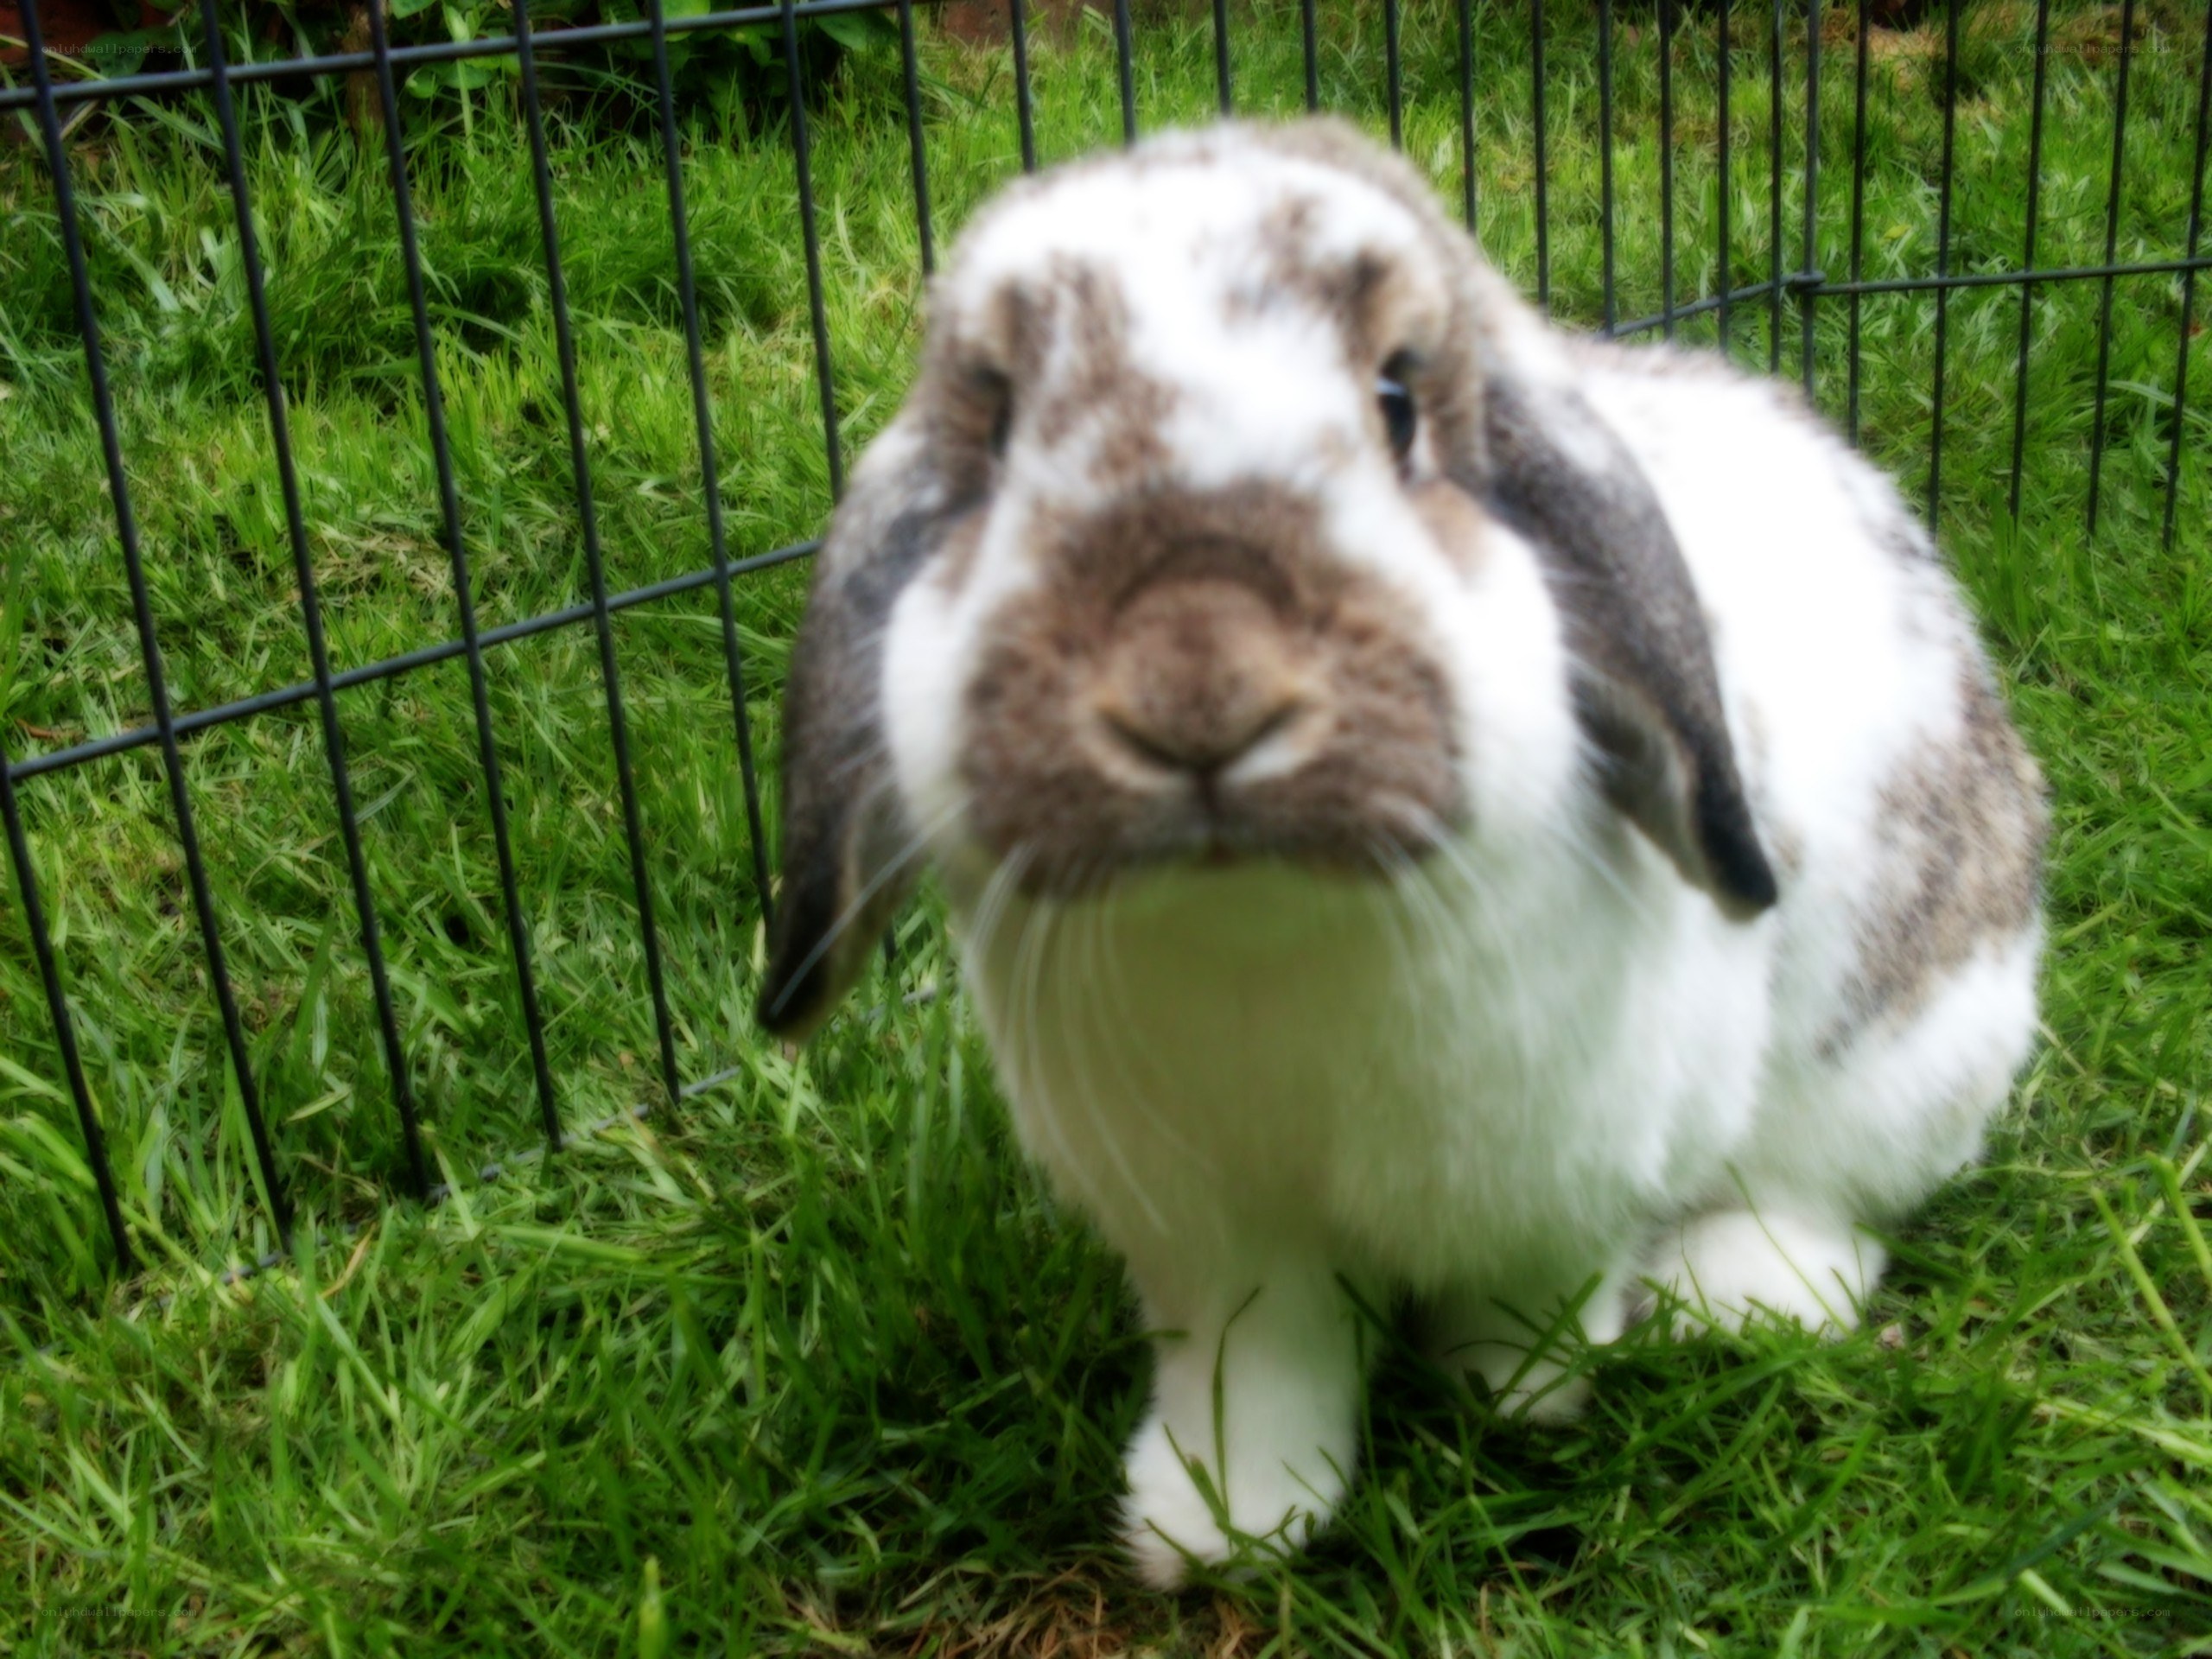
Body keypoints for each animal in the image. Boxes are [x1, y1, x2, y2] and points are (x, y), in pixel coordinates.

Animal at [754, 118, 2047, 1588]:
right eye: (1004, 431)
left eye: (1398, 405)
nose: (1198, 692)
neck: (1260, 934)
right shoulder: (1216, 1233)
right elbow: (1263, 1367)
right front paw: (1219, 1524)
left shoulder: (1558, 1181)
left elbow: (1526, 1301)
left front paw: (1518, 1404)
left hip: (1911, 1049)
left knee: (1839, 1205)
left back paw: (1732, 1294)